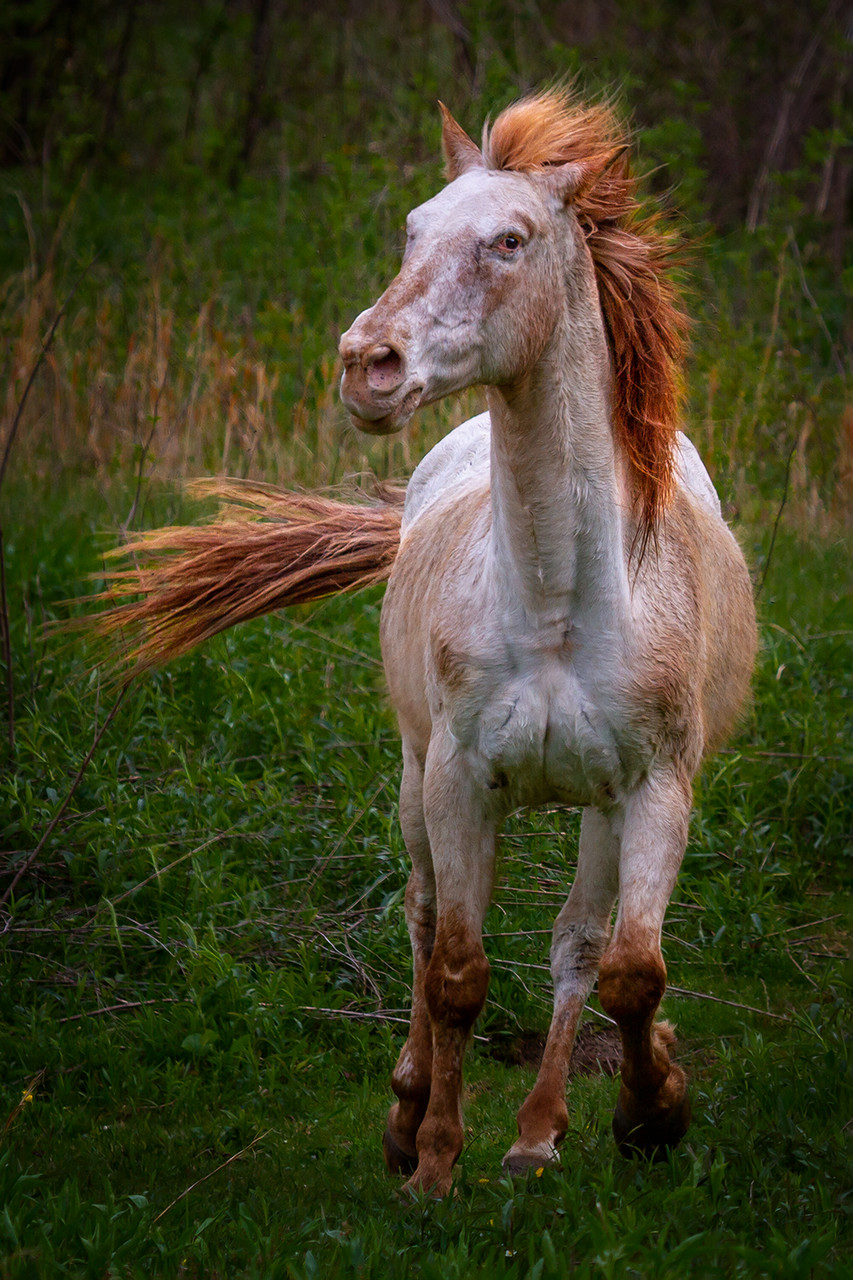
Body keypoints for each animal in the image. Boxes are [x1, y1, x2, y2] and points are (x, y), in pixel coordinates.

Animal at [94, 89, 757, 1198]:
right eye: (411, 228)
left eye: (509, 239)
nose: (368, 364)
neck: (558, 608)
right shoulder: (456, 777)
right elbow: (455, 970)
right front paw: (432, 1161)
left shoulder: (656, 787)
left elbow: (626, 967)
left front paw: (648, 1112)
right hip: (413, 776)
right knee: (419, 914)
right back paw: (411, 1111)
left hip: (593, 806)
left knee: (577, 945)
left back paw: (536, 1135)